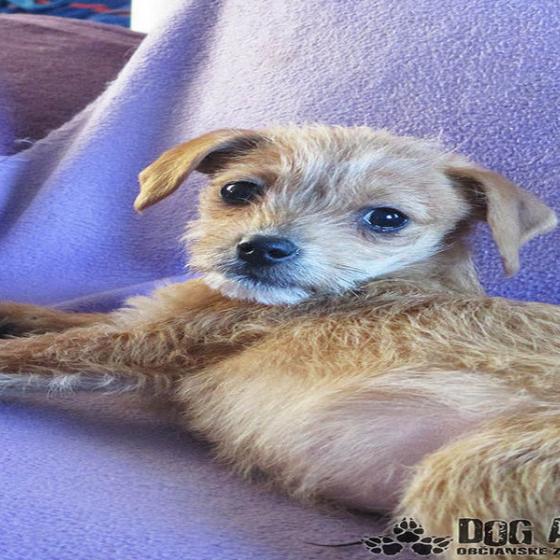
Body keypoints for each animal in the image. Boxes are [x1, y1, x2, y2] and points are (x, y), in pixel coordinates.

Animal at [0, 124, 558, 555]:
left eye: (387, 218)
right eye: (237, 191)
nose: (261, 248)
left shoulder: (154, 344)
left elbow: (43, 348)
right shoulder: (145, 319)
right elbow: (54, 316)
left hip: (466, 474)